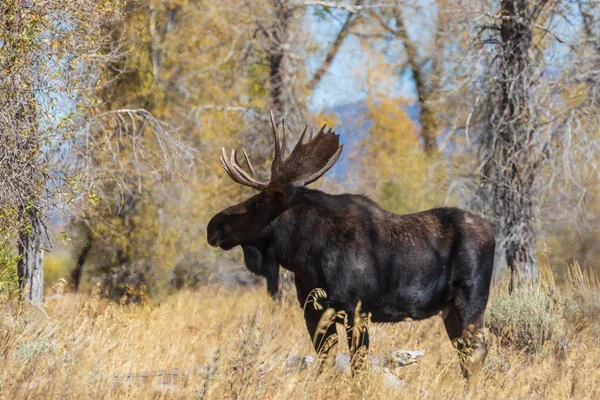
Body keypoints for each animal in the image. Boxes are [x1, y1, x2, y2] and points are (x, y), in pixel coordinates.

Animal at [209, 111, 494, 384]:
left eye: (259, 202)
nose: (213, 226)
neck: (305, 256)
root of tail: (492, 231)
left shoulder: (357, 310)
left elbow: (358, 365)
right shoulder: (313, 311)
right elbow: (325, 363)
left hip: (471, 302)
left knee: (476, 355)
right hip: (449, 311)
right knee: (464, 355)